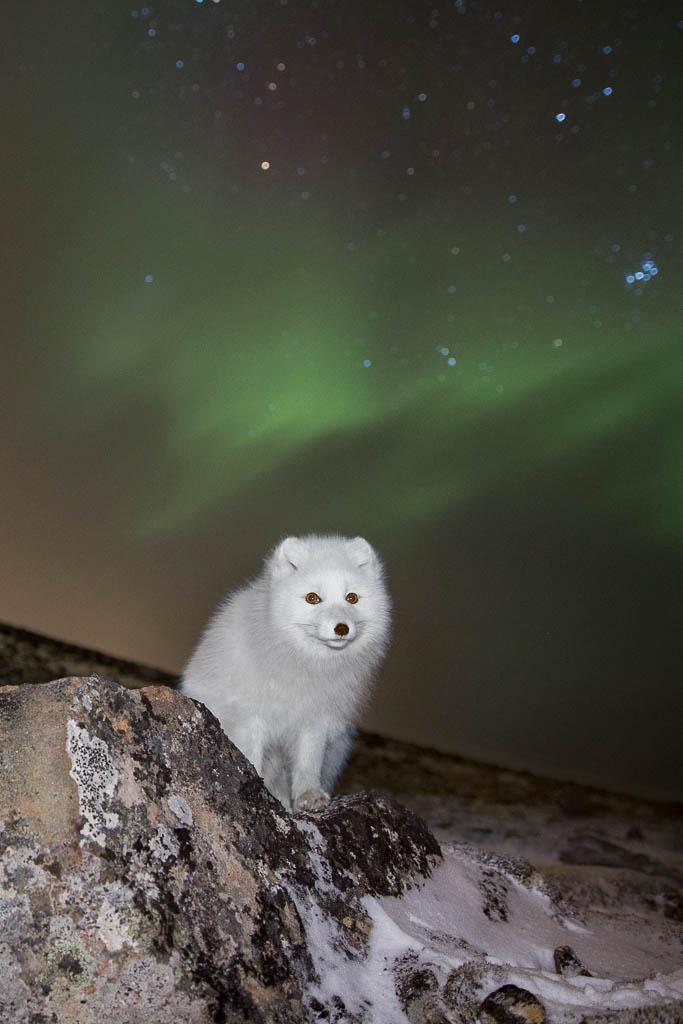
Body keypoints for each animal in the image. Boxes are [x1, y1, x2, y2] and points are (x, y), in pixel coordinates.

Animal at [179, 540, 393, 811]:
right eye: (312, 598)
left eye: (351, 598)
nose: (342, 628)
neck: (307, 666)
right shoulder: (250, 717)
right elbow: (251, 757)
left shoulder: (315, 719)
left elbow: (308, 762)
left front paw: (308, 797)